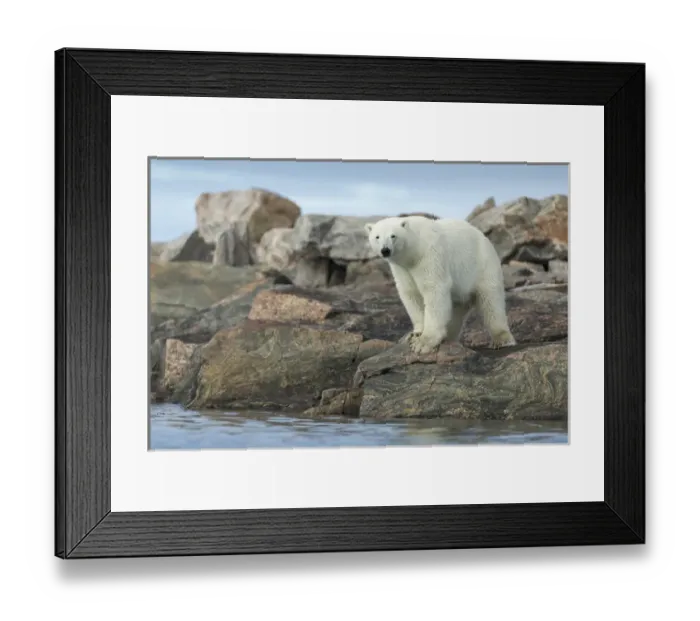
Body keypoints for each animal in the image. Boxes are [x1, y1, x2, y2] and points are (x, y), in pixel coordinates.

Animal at [365, 215, 516, 355]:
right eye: (377, 237)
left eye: (393, 236)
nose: (385, 250)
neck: (414, 251)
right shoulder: (402, 269)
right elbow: (411, 294)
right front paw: (416, 333)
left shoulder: (430, 256)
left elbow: (434, 290)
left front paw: (423, 343)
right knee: (456, 310)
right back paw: (449, 336)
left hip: (483, 266)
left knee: (491, 301)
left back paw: (502, 339)